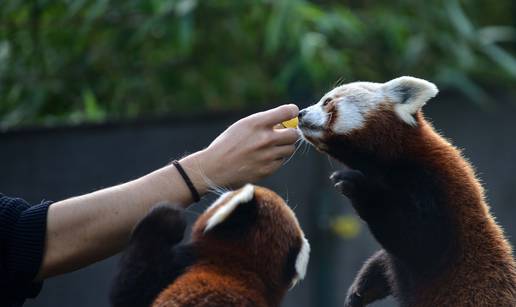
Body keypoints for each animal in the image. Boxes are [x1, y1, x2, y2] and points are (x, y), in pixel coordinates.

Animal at [296, 76, 516, 306]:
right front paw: (358, 292)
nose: (300, 113)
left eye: (327, 101)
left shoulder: (432, 191)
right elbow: (387, 259)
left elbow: (418, 239)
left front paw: (357, 185)